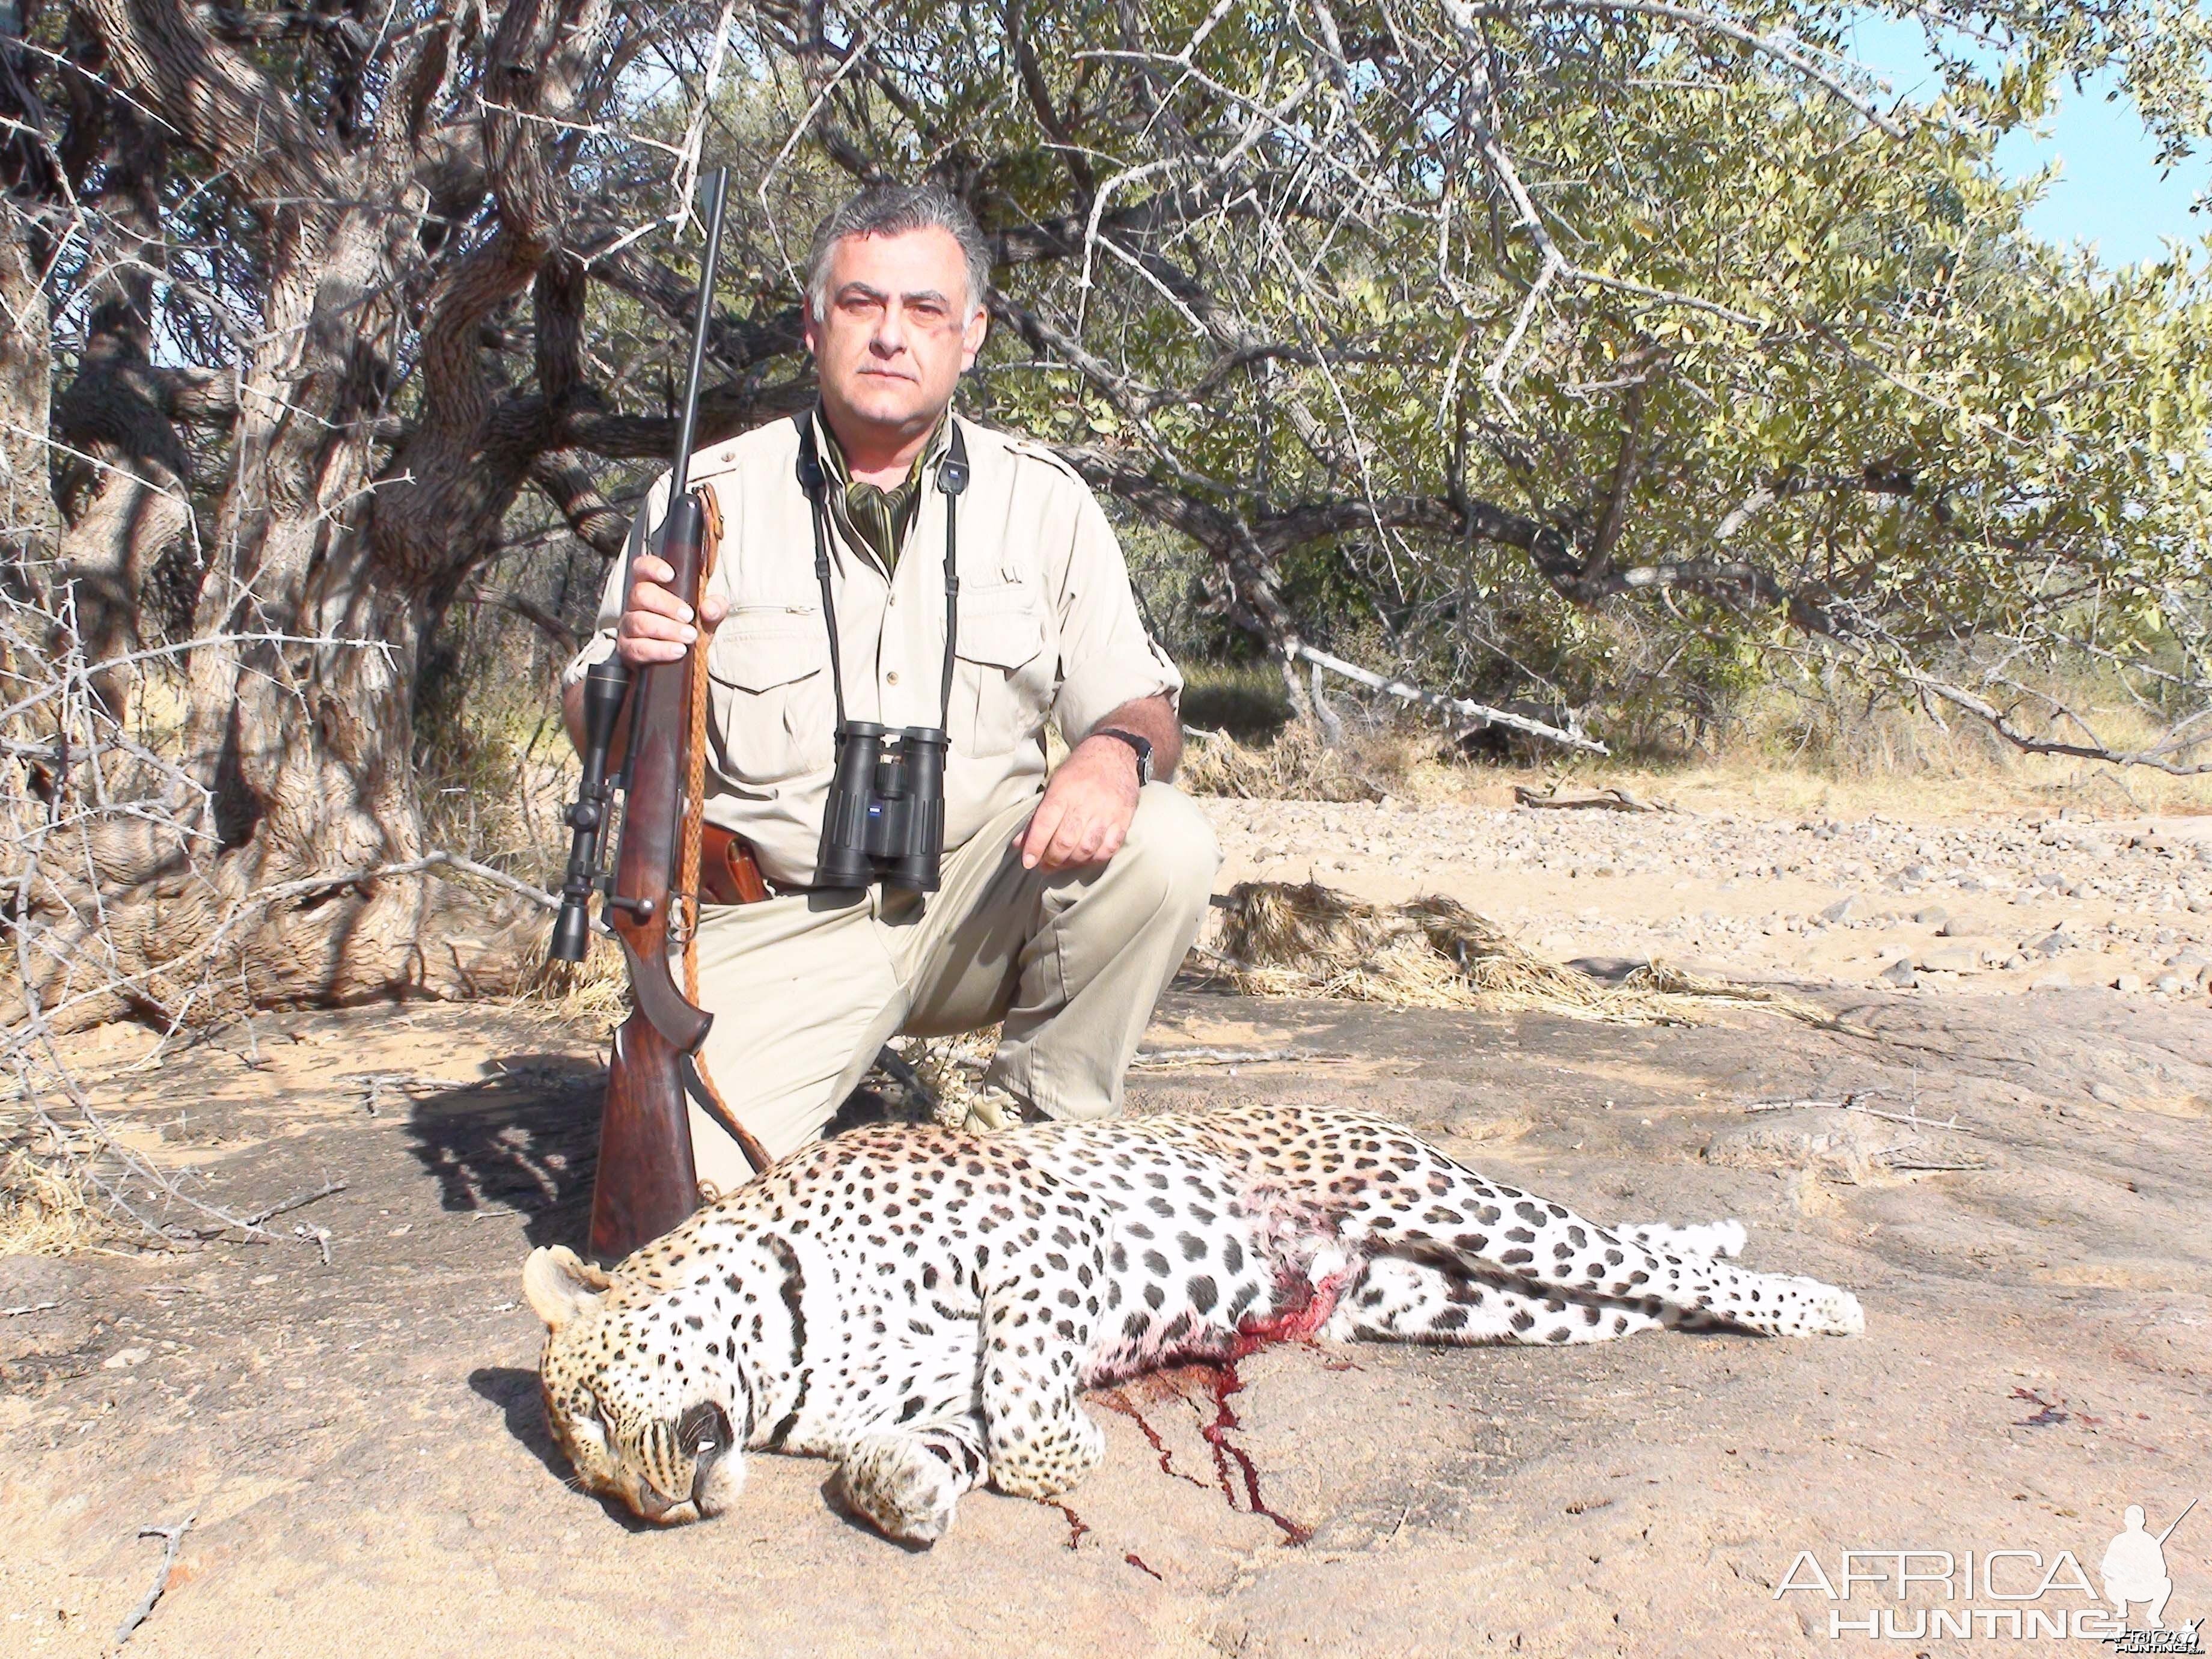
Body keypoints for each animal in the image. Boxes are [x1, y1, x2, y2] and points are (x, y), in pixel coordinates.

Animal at [526, 1106, 1858, 1548]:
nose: (647, 1509)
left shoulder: (1042, 1235)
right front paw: (901, 1490)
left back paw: (1822, 1303)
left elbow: (1024, 1405)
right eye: (586, 1475)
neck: (796, 1351)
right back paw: (1727, 1254)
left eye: (591, 1417)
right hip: (1458, 1299)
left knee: (1624, 1253)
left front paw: (1072, 1448)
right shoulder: (940, 1389)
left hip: (1440, 1199)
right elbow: (938, 1441)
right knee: (1628, 1296)